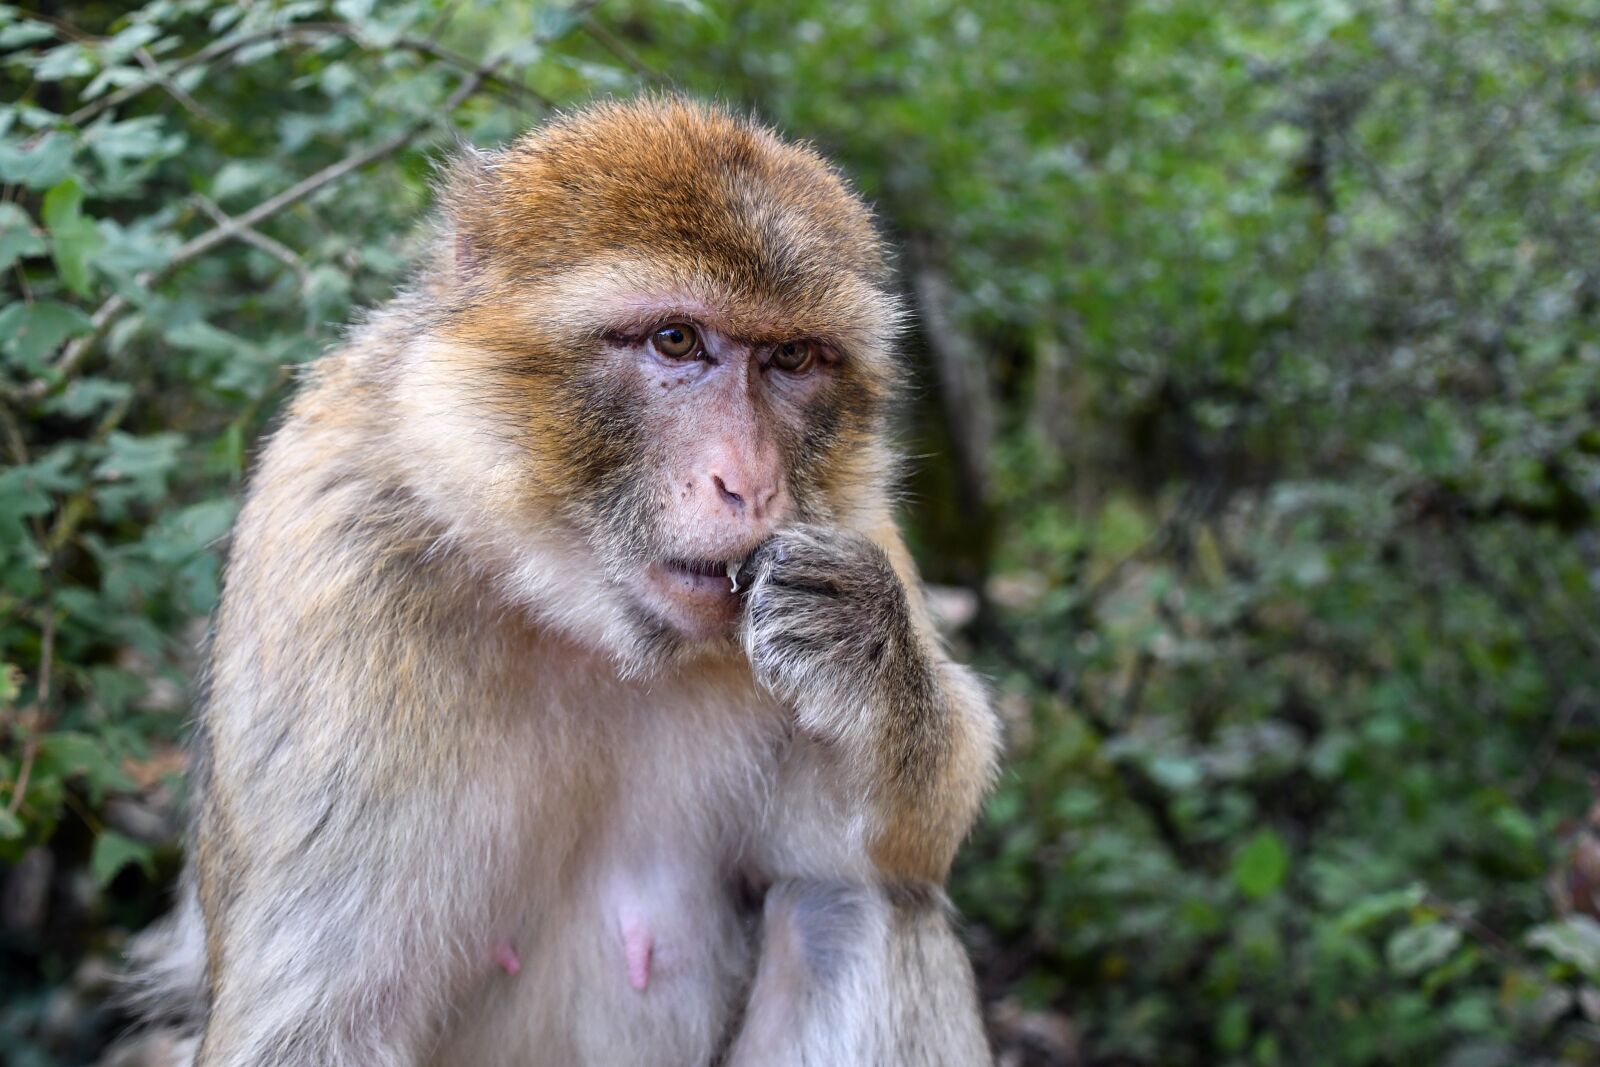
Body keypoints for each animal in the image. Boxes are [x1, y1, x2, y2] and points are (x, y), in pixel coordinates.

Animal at [119, 97, 1001, 1067]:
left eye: (795, 358)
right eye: (676, 339)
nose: (750, 484)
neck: (578, 614)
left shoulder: (855, 516)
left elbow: (890, 848)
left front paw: (866, 646)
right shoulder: (336, 566)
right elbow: (315, 1026)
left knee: (851, 903)